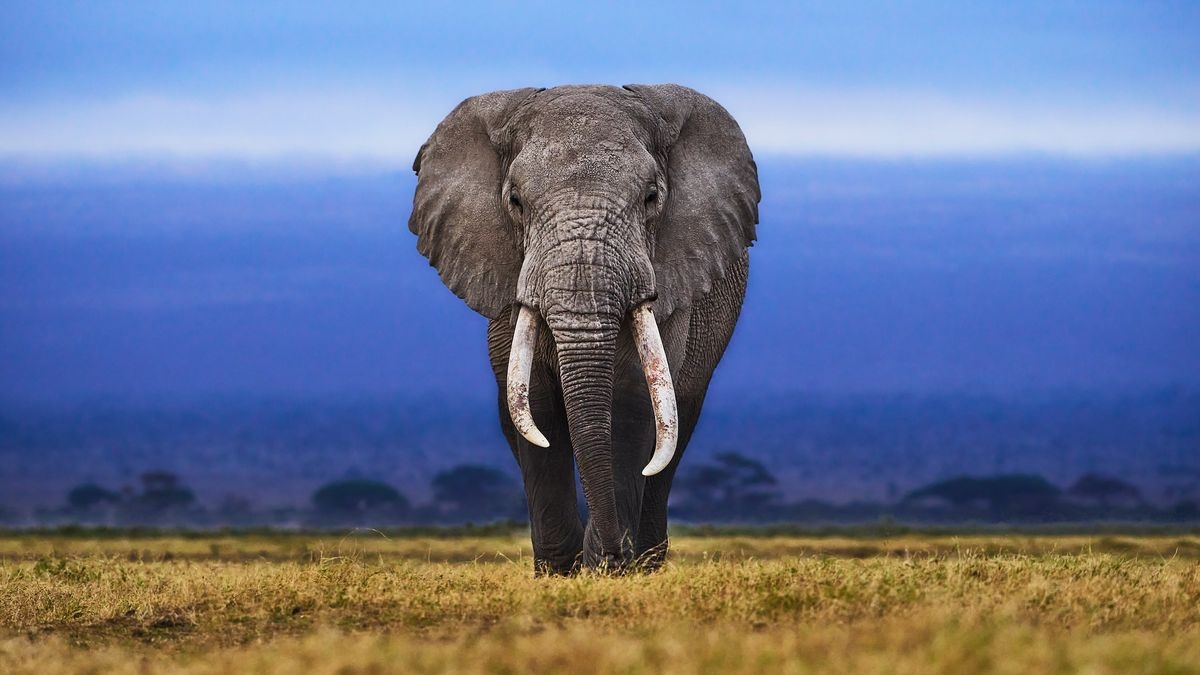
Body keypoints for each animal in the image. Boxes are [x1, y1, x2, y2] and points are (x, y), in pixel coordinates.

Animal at [409, 84, 759, 573]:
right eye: (515, 202)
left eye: (651, 197)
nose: (612, 553)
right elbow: (535, 407)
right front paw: (562, 571)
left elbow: (632, 401)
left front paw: (607, 569)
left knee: (674, 433)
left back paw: (645, 561)